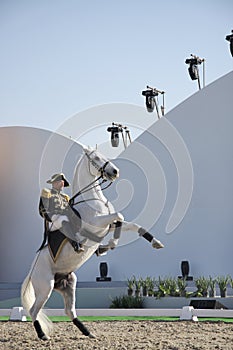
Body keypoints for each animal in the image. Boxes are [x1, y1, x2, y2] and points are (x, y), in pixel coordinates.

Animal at [21, 146, 164, 340]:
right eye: (96, 158)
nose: (115, 172)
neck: (92, 200)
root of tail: (31, 272)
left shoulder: (107, 225)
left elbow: (129, 224)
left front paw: (155, 242)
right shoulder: (97, 224)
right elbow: (120, 216)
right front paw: (108, 245)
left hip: (69, 284)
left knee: (69, 311)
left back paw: (89, 333)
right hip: (46, 286)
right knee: (34, 310)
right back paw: (43, 335)